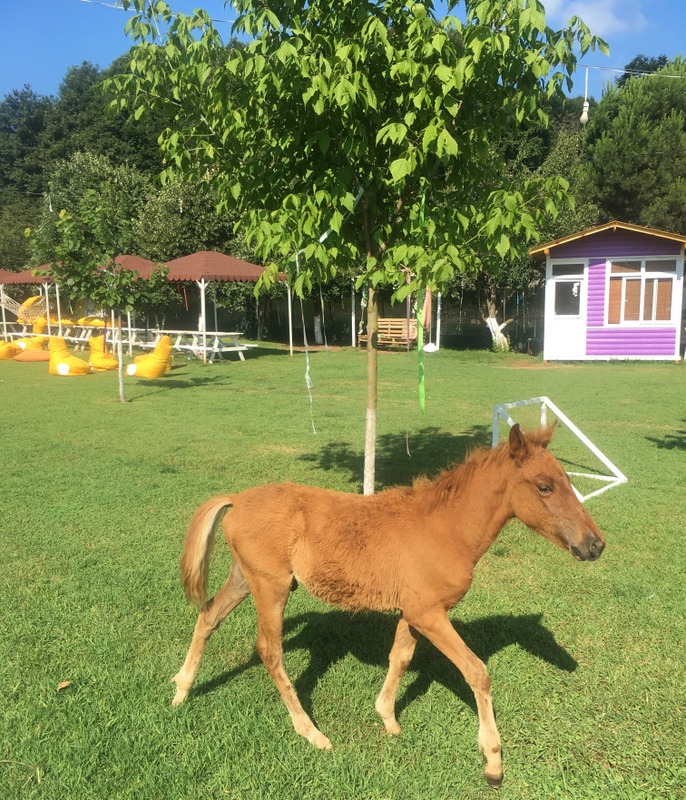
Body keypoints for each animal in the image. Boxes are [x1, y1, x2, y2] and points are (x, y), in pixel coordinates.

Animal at [171, 423, 605, 788]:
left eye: (569, 480)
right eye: (544, 487)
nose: (595, 545)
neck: (444, 528)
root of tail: (237, 499)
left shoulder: (413, 612)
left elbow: (401, 657)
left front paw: (388, 718)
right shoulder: (430, 614)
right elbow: (476, 672)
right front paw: (494, 764)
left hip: (245, 579)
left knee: (208, 617)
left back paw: (181, 690)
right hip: (271, 587)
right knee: (268, 650)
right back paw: (311, 732)